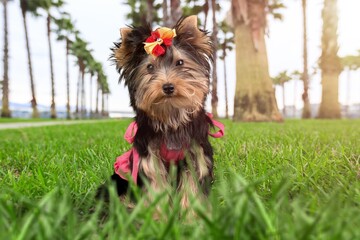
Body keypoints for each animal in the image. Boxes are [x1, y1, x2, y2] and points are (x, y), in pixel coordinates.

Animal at [105, 15, 222, 208]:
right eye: (150, 67)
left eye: (180, 63)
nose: (168, 86)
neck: (170, 114)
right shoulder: (149, 157)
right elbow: (156, 184)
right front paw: (157, 214)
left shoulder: (194, 153)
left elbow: (191, 185)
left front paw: (192, 214)